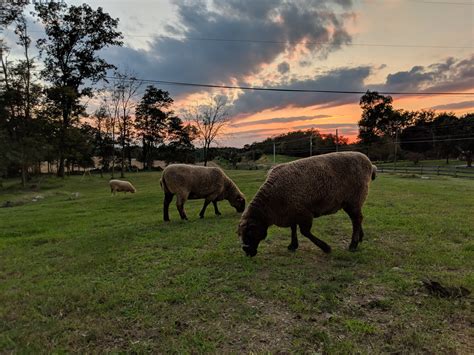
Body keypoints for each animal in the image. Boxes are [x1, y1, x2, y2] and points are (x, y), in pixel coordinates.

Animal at [237, 152, 378, 258]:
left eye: (249, 233)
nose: (246, 251)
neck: (270, 204)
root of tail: (369, 163)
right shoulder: (292, 212)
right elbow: (293, 229)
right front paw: (293, 245)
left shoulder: (304, 213)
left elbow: (305, 232)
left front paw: (326, 248)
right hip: (351, 202)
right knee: (357, 219)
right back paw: (359, 238)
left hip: (354, 199)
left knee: (357, 219)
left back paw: (353, 245)